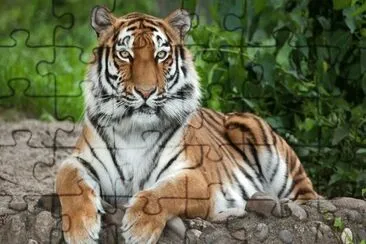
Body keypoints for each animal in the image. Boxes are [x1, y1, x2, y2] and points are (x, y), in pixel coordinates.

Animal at [55, 5, 318, 244]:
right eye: (125, 54)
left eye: (161, 55)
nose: (145, 92)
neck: (135, 131)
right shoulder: (79, 161)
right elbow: (69, 180)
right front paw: (80, 231)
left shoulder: (195, 177)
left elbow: (163, 192)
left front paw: (138, 229)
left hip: (252, 131)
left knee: (310, 198)